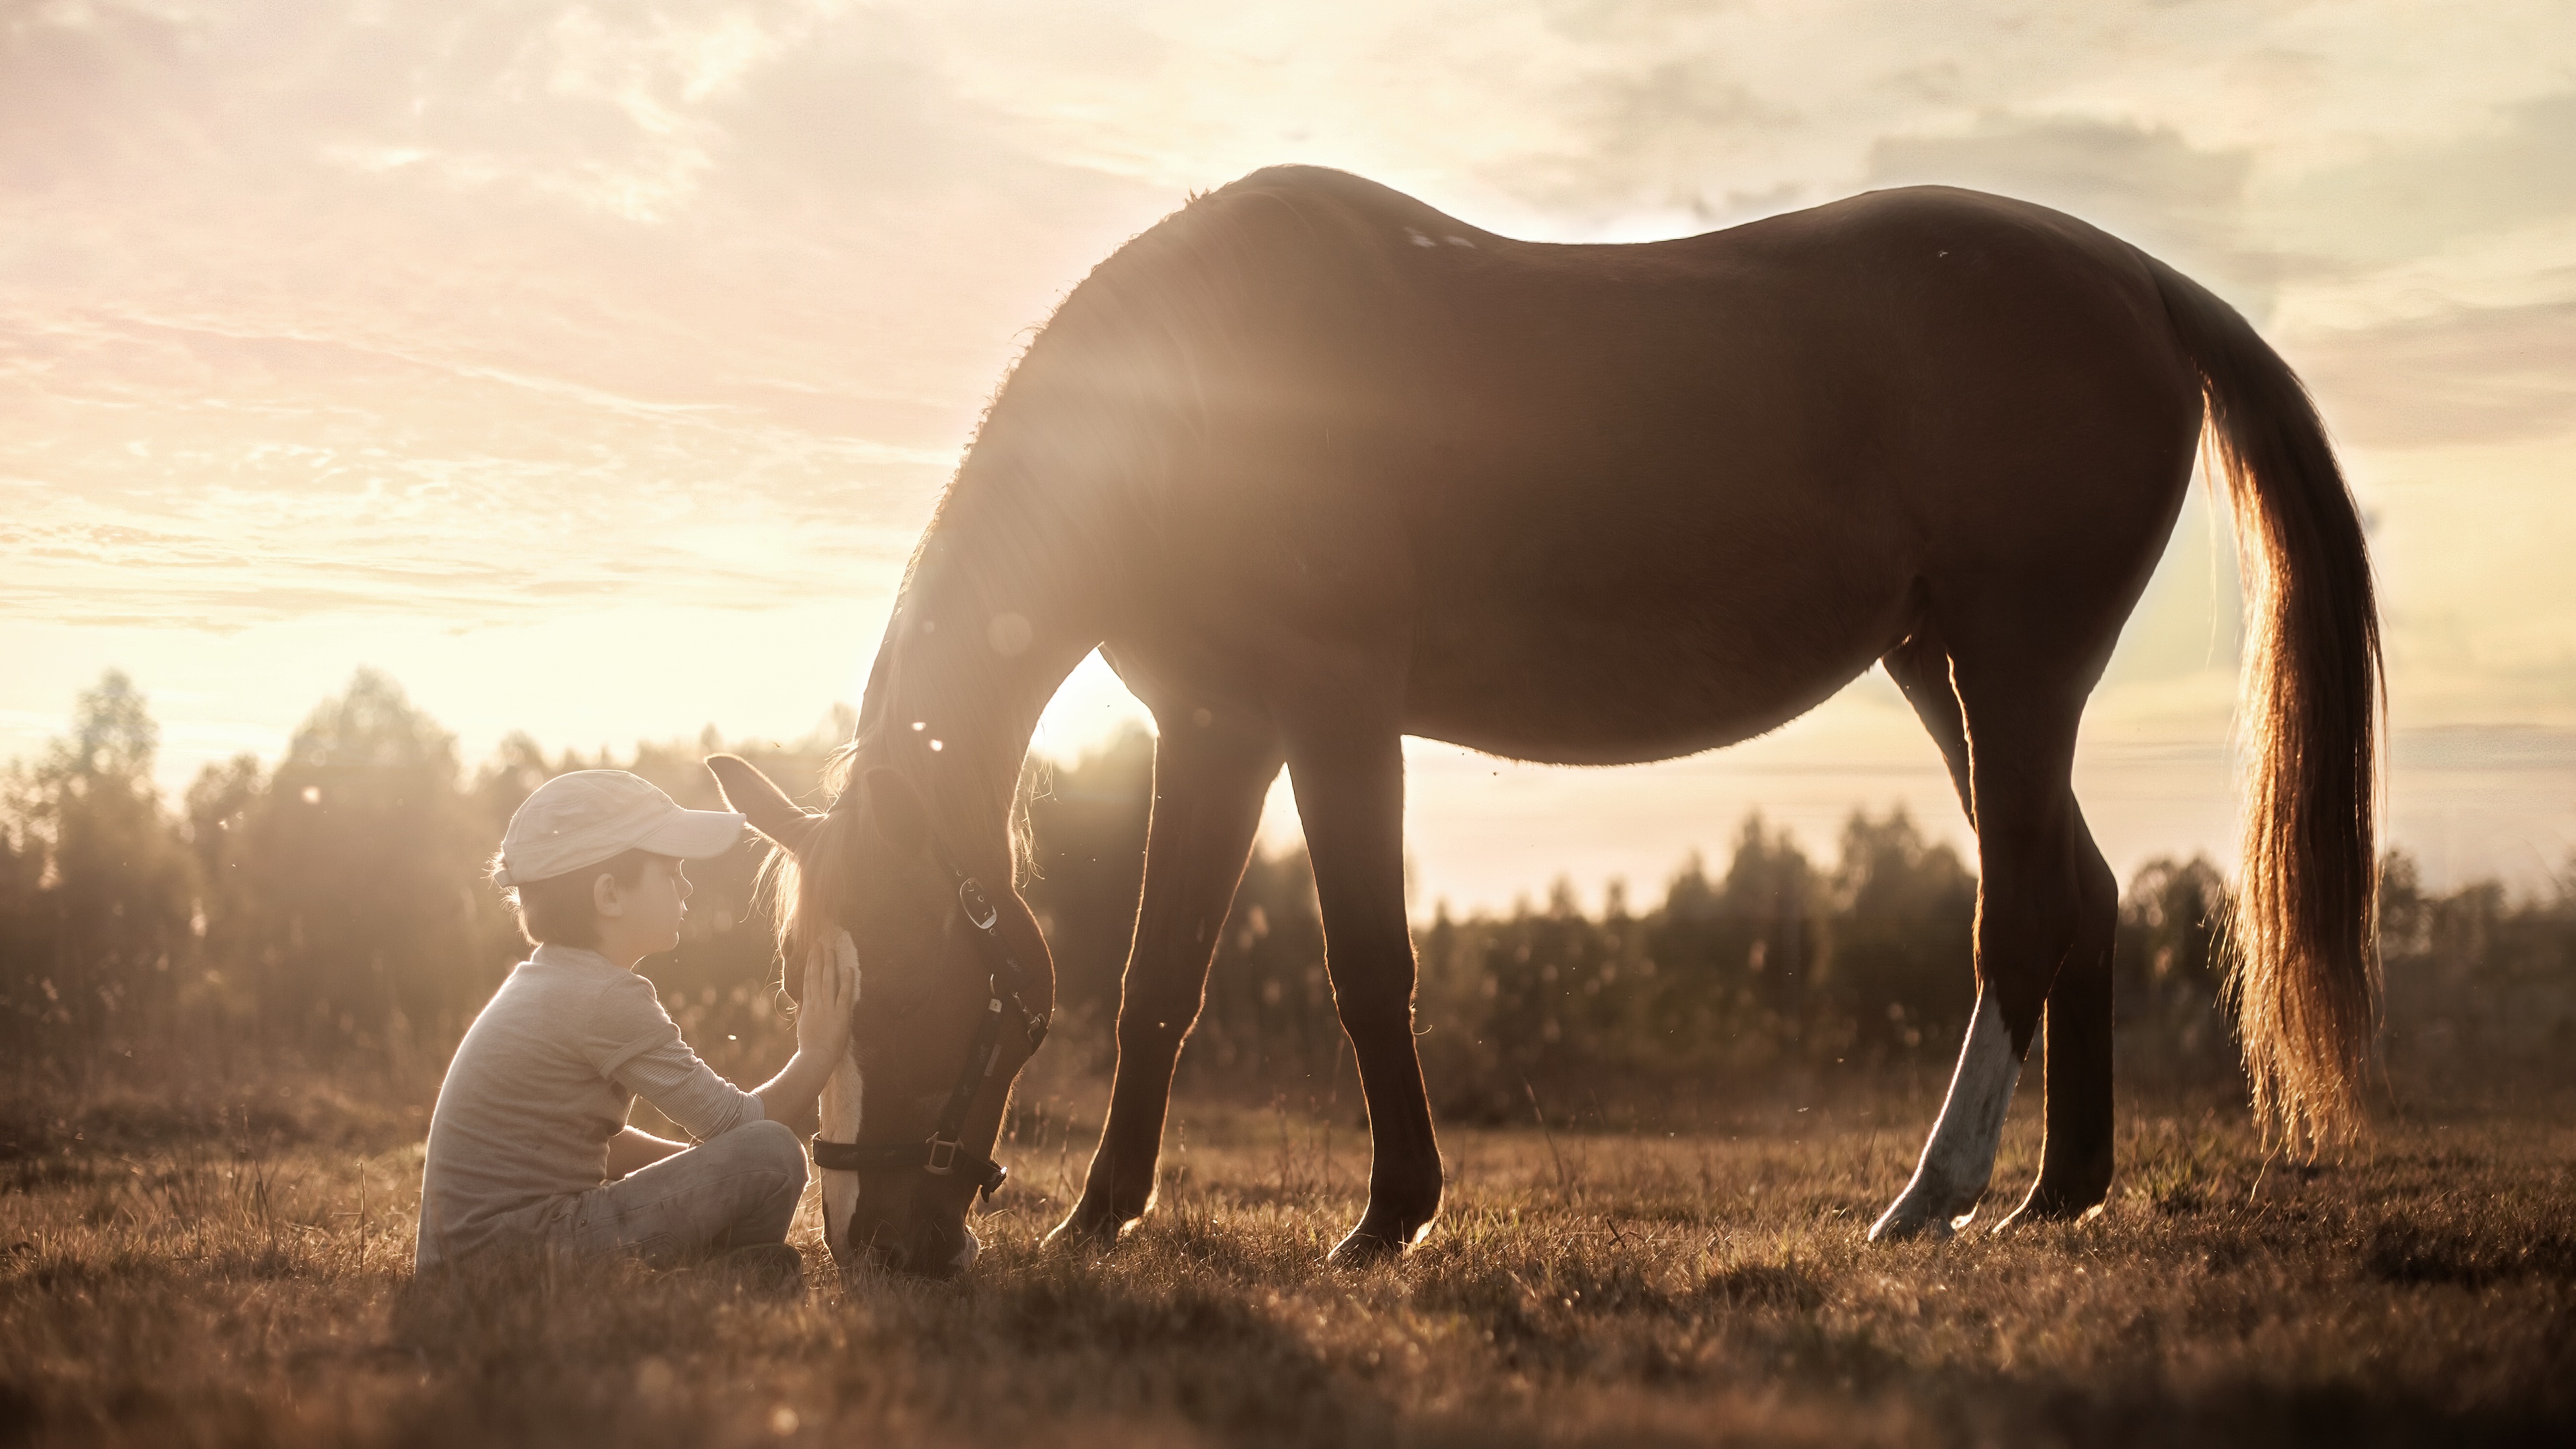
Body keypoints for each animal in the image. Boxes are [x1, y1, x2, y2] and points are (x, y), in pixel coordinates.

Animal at [700, 164, 2369, 1268]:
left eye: (911, 978)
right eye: (797, 975)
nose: (867, 1239)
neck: (1201, 406)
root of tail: (2137, 281)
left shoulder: (1337, 713)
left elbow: (1368, 965)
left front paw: (1389, 1216)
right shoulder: (1217, 727)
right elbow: (1158, 979)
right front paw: (1100, 1218)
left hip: (2015, 668)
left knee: (2018, 918)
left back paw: (1931, 1196)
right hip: (1942, 668)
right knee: (2080, 894)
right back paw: (2058, 1190)